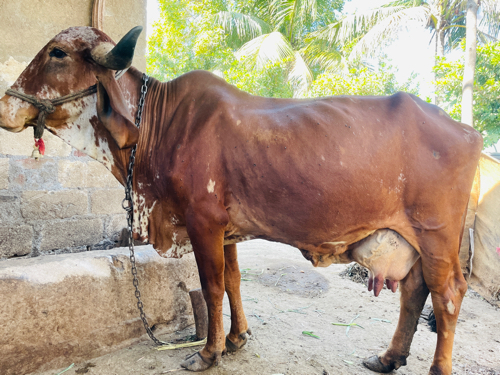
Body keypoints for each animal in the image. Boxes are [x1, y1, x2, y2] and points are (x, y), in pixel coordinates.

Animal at [0, 27, 484, 375]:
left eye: (58, 53)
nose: (6, 105)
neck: (155, 125)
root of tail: (466, 130)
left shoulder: (202, 221)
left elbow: (212, 286)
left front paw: (208, 353)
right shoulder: (227, 231)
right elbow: (233, 282)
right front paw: (236, 340)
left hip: (437, 236)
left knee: (447, 296)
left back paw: (433, 368)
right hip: (416, 240)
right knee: (415, 292)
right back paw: (387, 358)